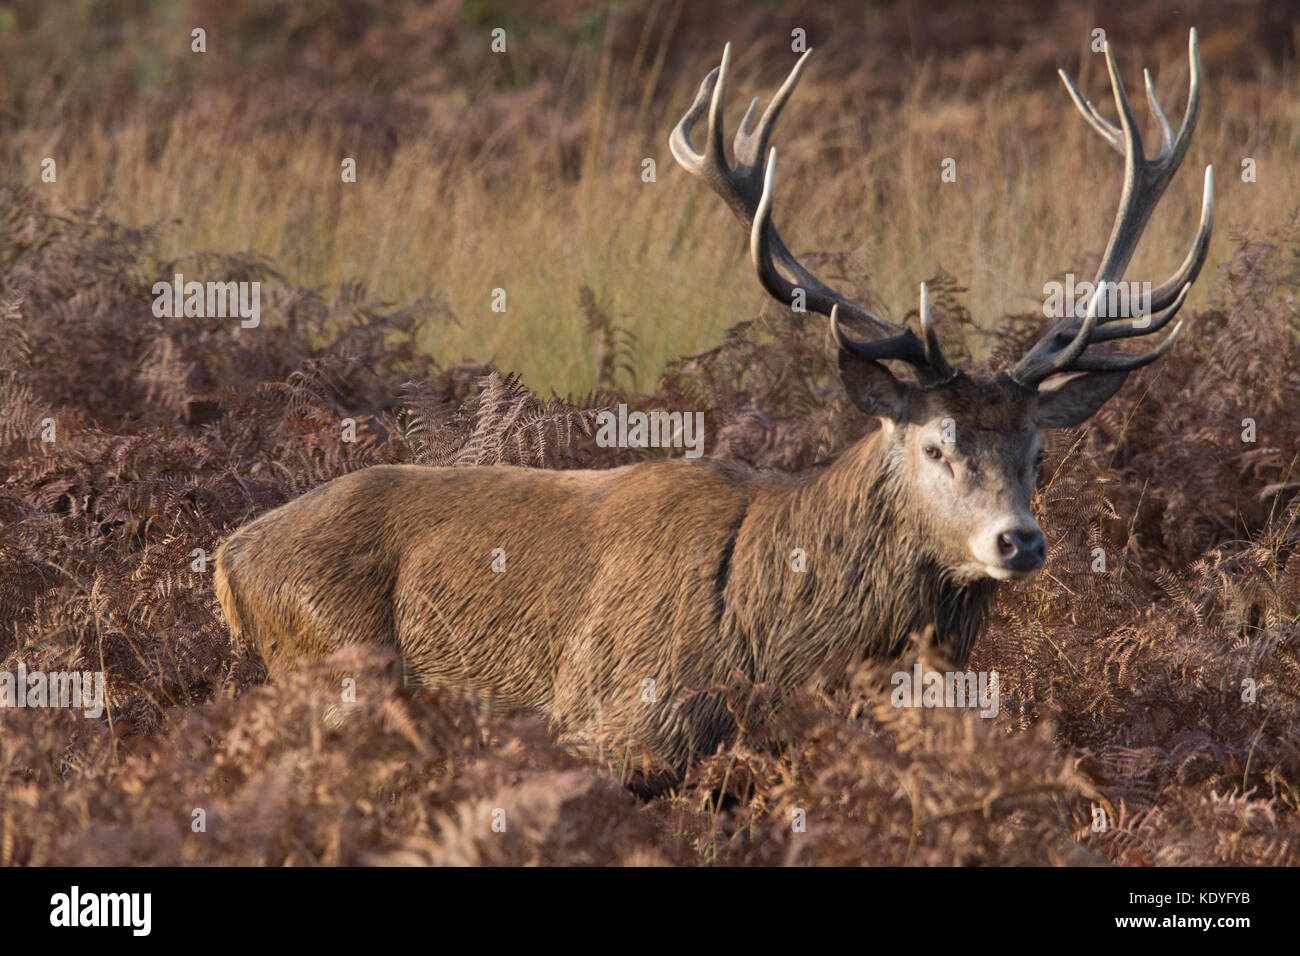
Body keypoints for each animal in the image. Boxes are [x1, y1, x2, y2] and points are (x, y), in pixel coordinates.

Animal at [214, 31, 1212, 785]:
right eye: (937, 443)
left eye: (1039, 454)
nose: (1019, 541)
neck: (781, 649)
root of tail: (229, 556)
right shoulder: (611, 718)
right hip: (331, 662)